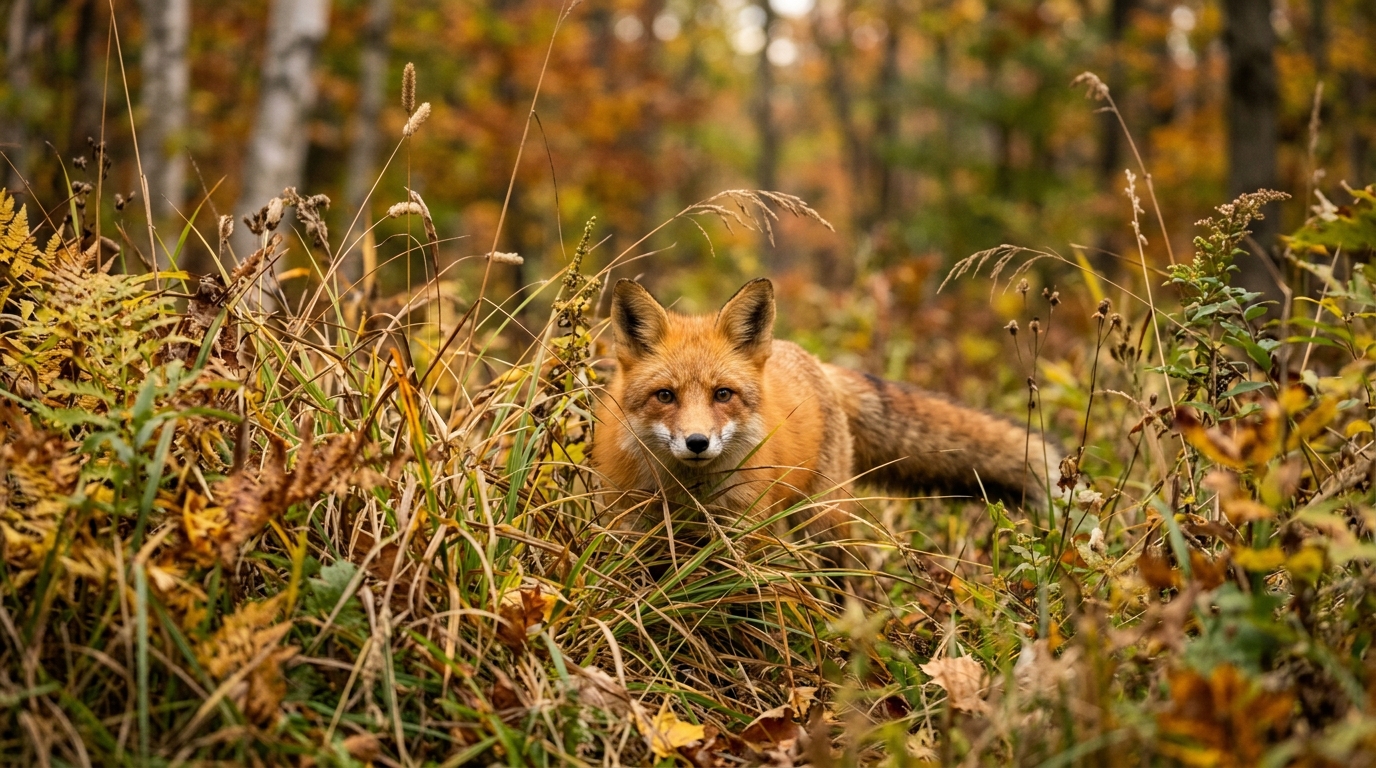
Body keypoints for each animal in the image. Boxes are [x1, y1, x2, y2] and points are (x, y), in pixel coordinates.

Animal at [591, 277, 1058, 547]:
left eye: (723, 394)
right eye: (665, 396)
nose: (697, 442)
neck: (684, 491)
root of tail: (815, 361)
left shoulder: (743, 527)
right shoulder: (629, 524)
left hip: (824, 520)